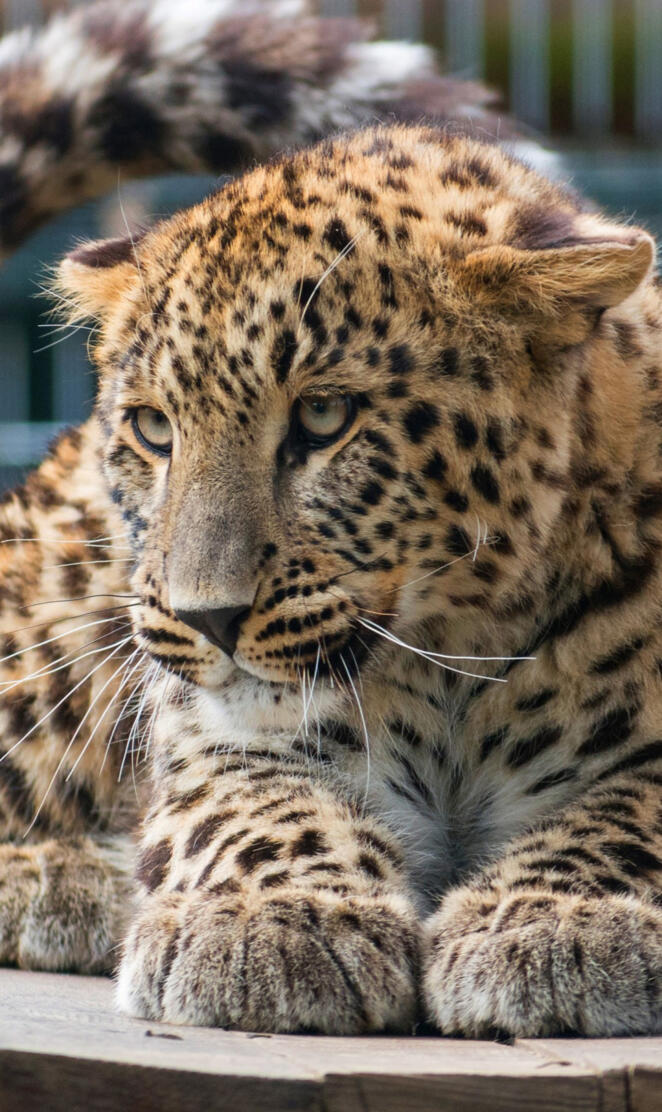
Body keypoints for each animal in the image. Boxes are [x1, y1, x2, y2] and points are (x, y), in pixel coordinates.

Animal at [1, 3, 662, 1042]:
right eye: (154, 428)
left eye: (322, 417)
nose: (208, 619)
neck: (458, 649)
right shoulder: (225, 738)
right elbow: (254, 811)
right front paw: (274, 921)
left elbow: (625, 813)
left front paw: (556, 919)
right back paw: (63, 879)